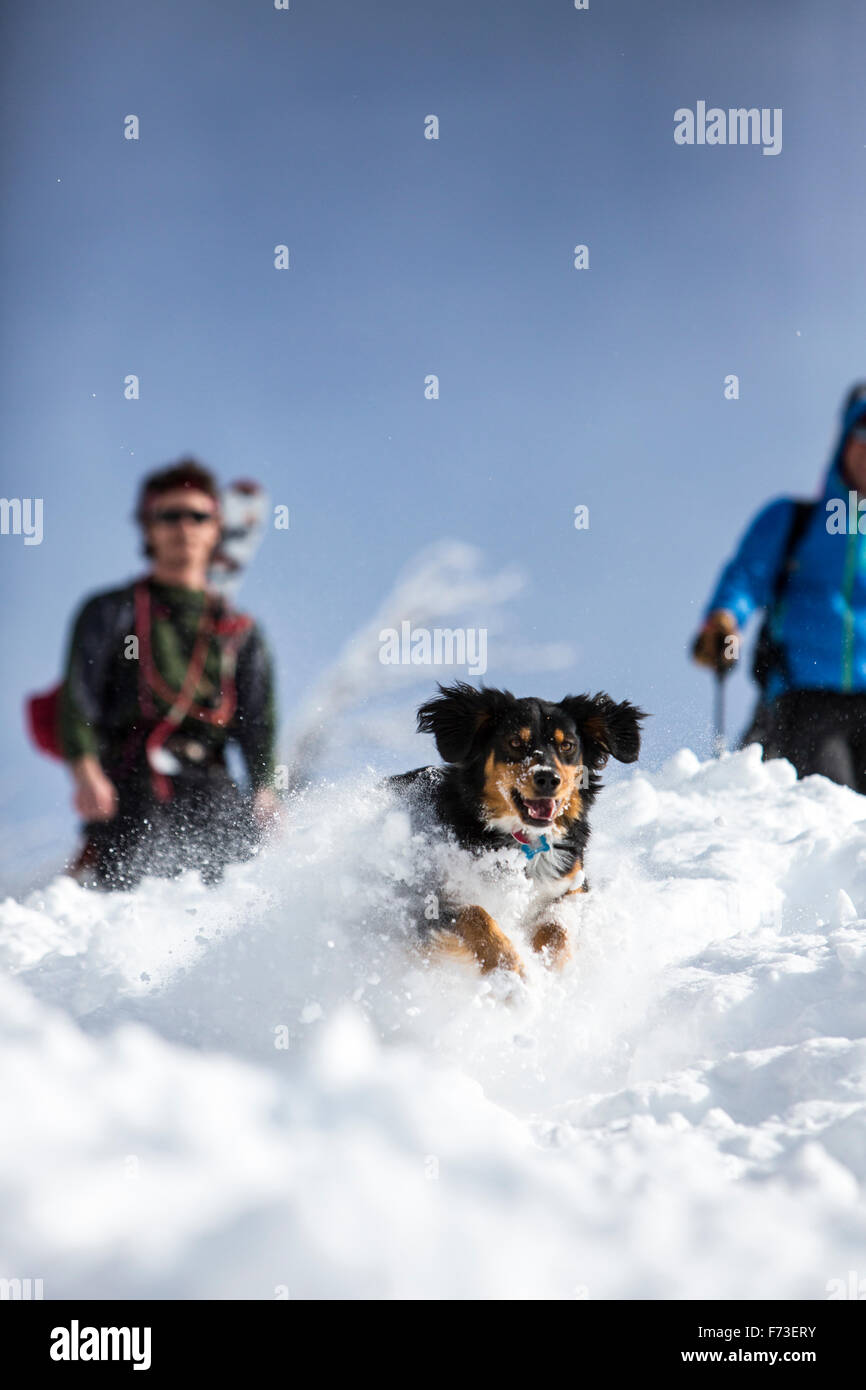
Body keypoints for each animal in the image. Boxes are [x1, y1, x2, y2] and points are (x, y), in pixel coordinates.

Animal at [389, 683, 647, 978]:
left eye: (567, 745)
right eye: (514, 742)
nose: (548, 778)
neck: (524, 841)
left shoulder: (572, 883)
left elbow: (557, 926)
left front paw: (549, 968)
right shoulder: (429, 898)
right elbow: (476, 915)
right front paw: (512, 976)